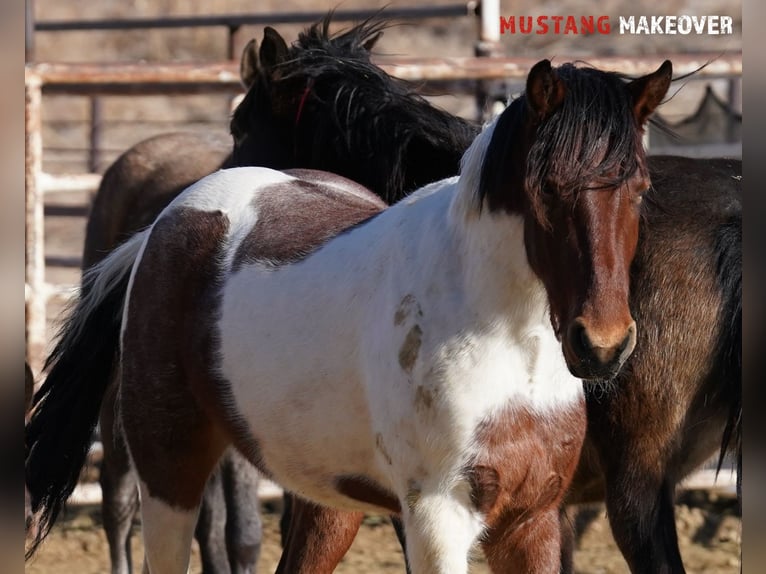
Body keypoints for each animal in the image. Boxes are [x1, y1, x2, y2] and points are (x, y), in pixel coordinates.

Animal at [27, 13, 740, 574]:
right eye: (545, 188)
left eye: (639, 187)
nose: (602, 346)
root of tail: (164, 224)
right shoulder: (435, 519)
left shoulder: (533, 520)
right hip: (170, 468)